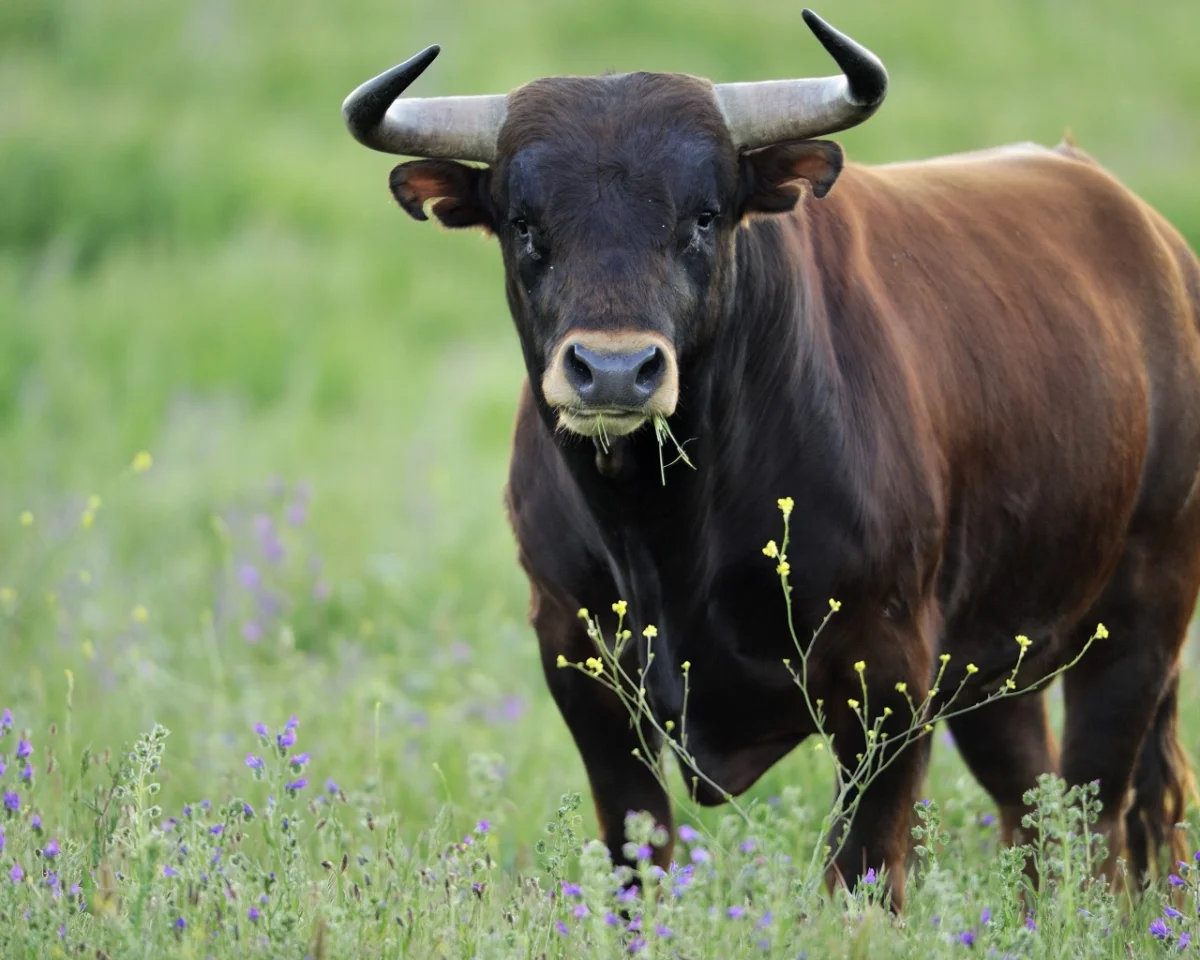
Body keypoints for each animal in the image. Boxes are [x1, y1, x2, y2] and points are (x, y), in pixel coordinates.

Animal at [340, 11, 1200, 902]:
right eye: (524, 223)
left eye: (704, 215)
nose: (613, 369)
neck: (663, 532)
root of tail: (1153, 240)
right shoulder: (578, 662)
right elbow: (637, 856)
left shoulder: (887, 673)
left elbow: (863, 872)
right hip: (1003, 663)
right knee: (1034, 810)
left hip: (1141, 616)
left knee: (1100, 820)